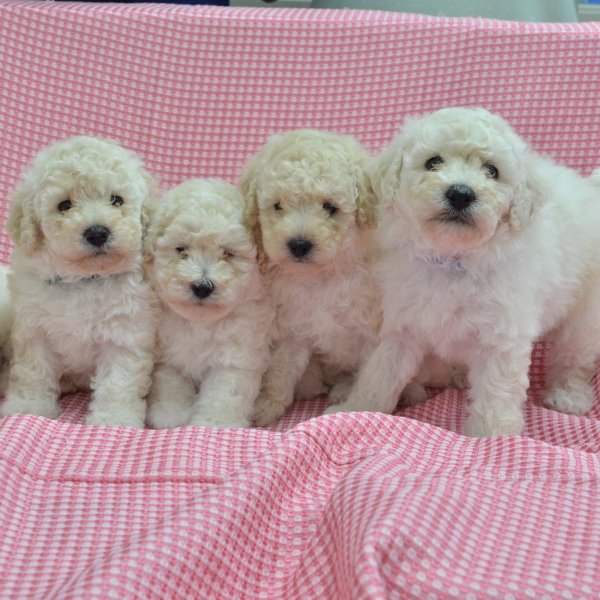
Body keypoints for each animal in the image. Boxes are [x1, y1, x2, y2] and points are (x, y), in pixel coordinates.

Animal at [0, 136, 158, 426]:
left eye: (116, 200)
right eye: (64, 205)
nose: (97, 233)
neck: (85, 279)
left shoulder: (126, 333)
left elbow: (118, 381)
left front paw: (113, 419)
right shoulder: (34, 330)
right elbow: (33, 372)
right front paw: (28, 407)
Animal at [144, 176, 274, 428]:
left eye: (228, 253)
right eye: (181, 249)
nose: (202, 286)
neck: (201, 322)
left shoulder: (236, 357)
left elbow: (224, 395)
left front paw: (216, 424)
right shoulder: (169, 356)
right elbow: (171, 385)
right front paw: (171, 415)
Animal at [326, 106, 600, 436]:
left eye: (492, 171)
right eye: (433, 162)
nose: (460, 193)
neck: (453, 259)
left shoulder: (503, 335)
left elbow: (496, 393)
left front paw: (493, 437)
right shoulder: (402, 323)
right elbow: (380, 374)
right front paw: (354, 410)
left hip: (585, 314)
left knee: (574, 356)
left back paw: (567, 394)